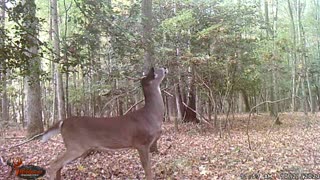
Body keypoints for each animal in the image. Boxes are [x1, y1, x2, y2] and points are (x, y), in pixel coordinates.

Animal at [40, 68, 168, 180]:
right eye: (157, 71)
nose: (165, 68)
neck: (150, 115)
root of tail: (63, 122)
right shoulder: (141, 143)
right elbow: (148, 169)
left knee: (59, 165)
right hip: (75, 145)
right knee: (54, 165)